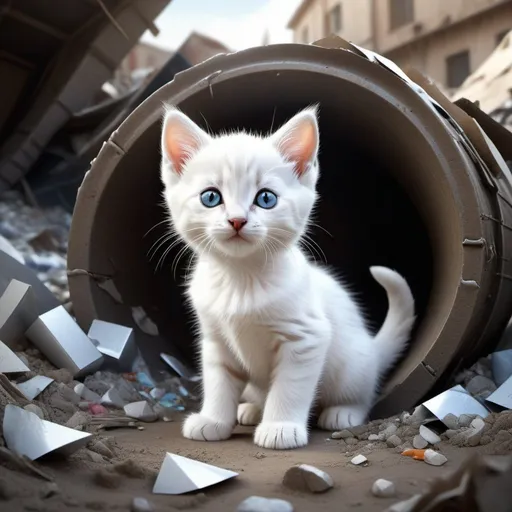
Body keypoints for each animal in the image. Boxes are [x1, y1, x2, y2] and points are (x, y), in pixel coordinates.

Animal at [160, 104, 416, 448]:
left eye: (266, 198)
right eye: (210, 197)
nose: (237, 220)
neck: (240, 279)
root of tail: (373, 350)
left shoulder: (306, 337)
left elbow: (289, 388)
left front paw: (280, 428)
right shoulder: (216, 340)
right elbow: (218, 382)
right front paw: (213, 420)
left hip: (352, 364)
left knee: (362, 393)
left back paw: (343, 412)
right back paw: (251, 409)